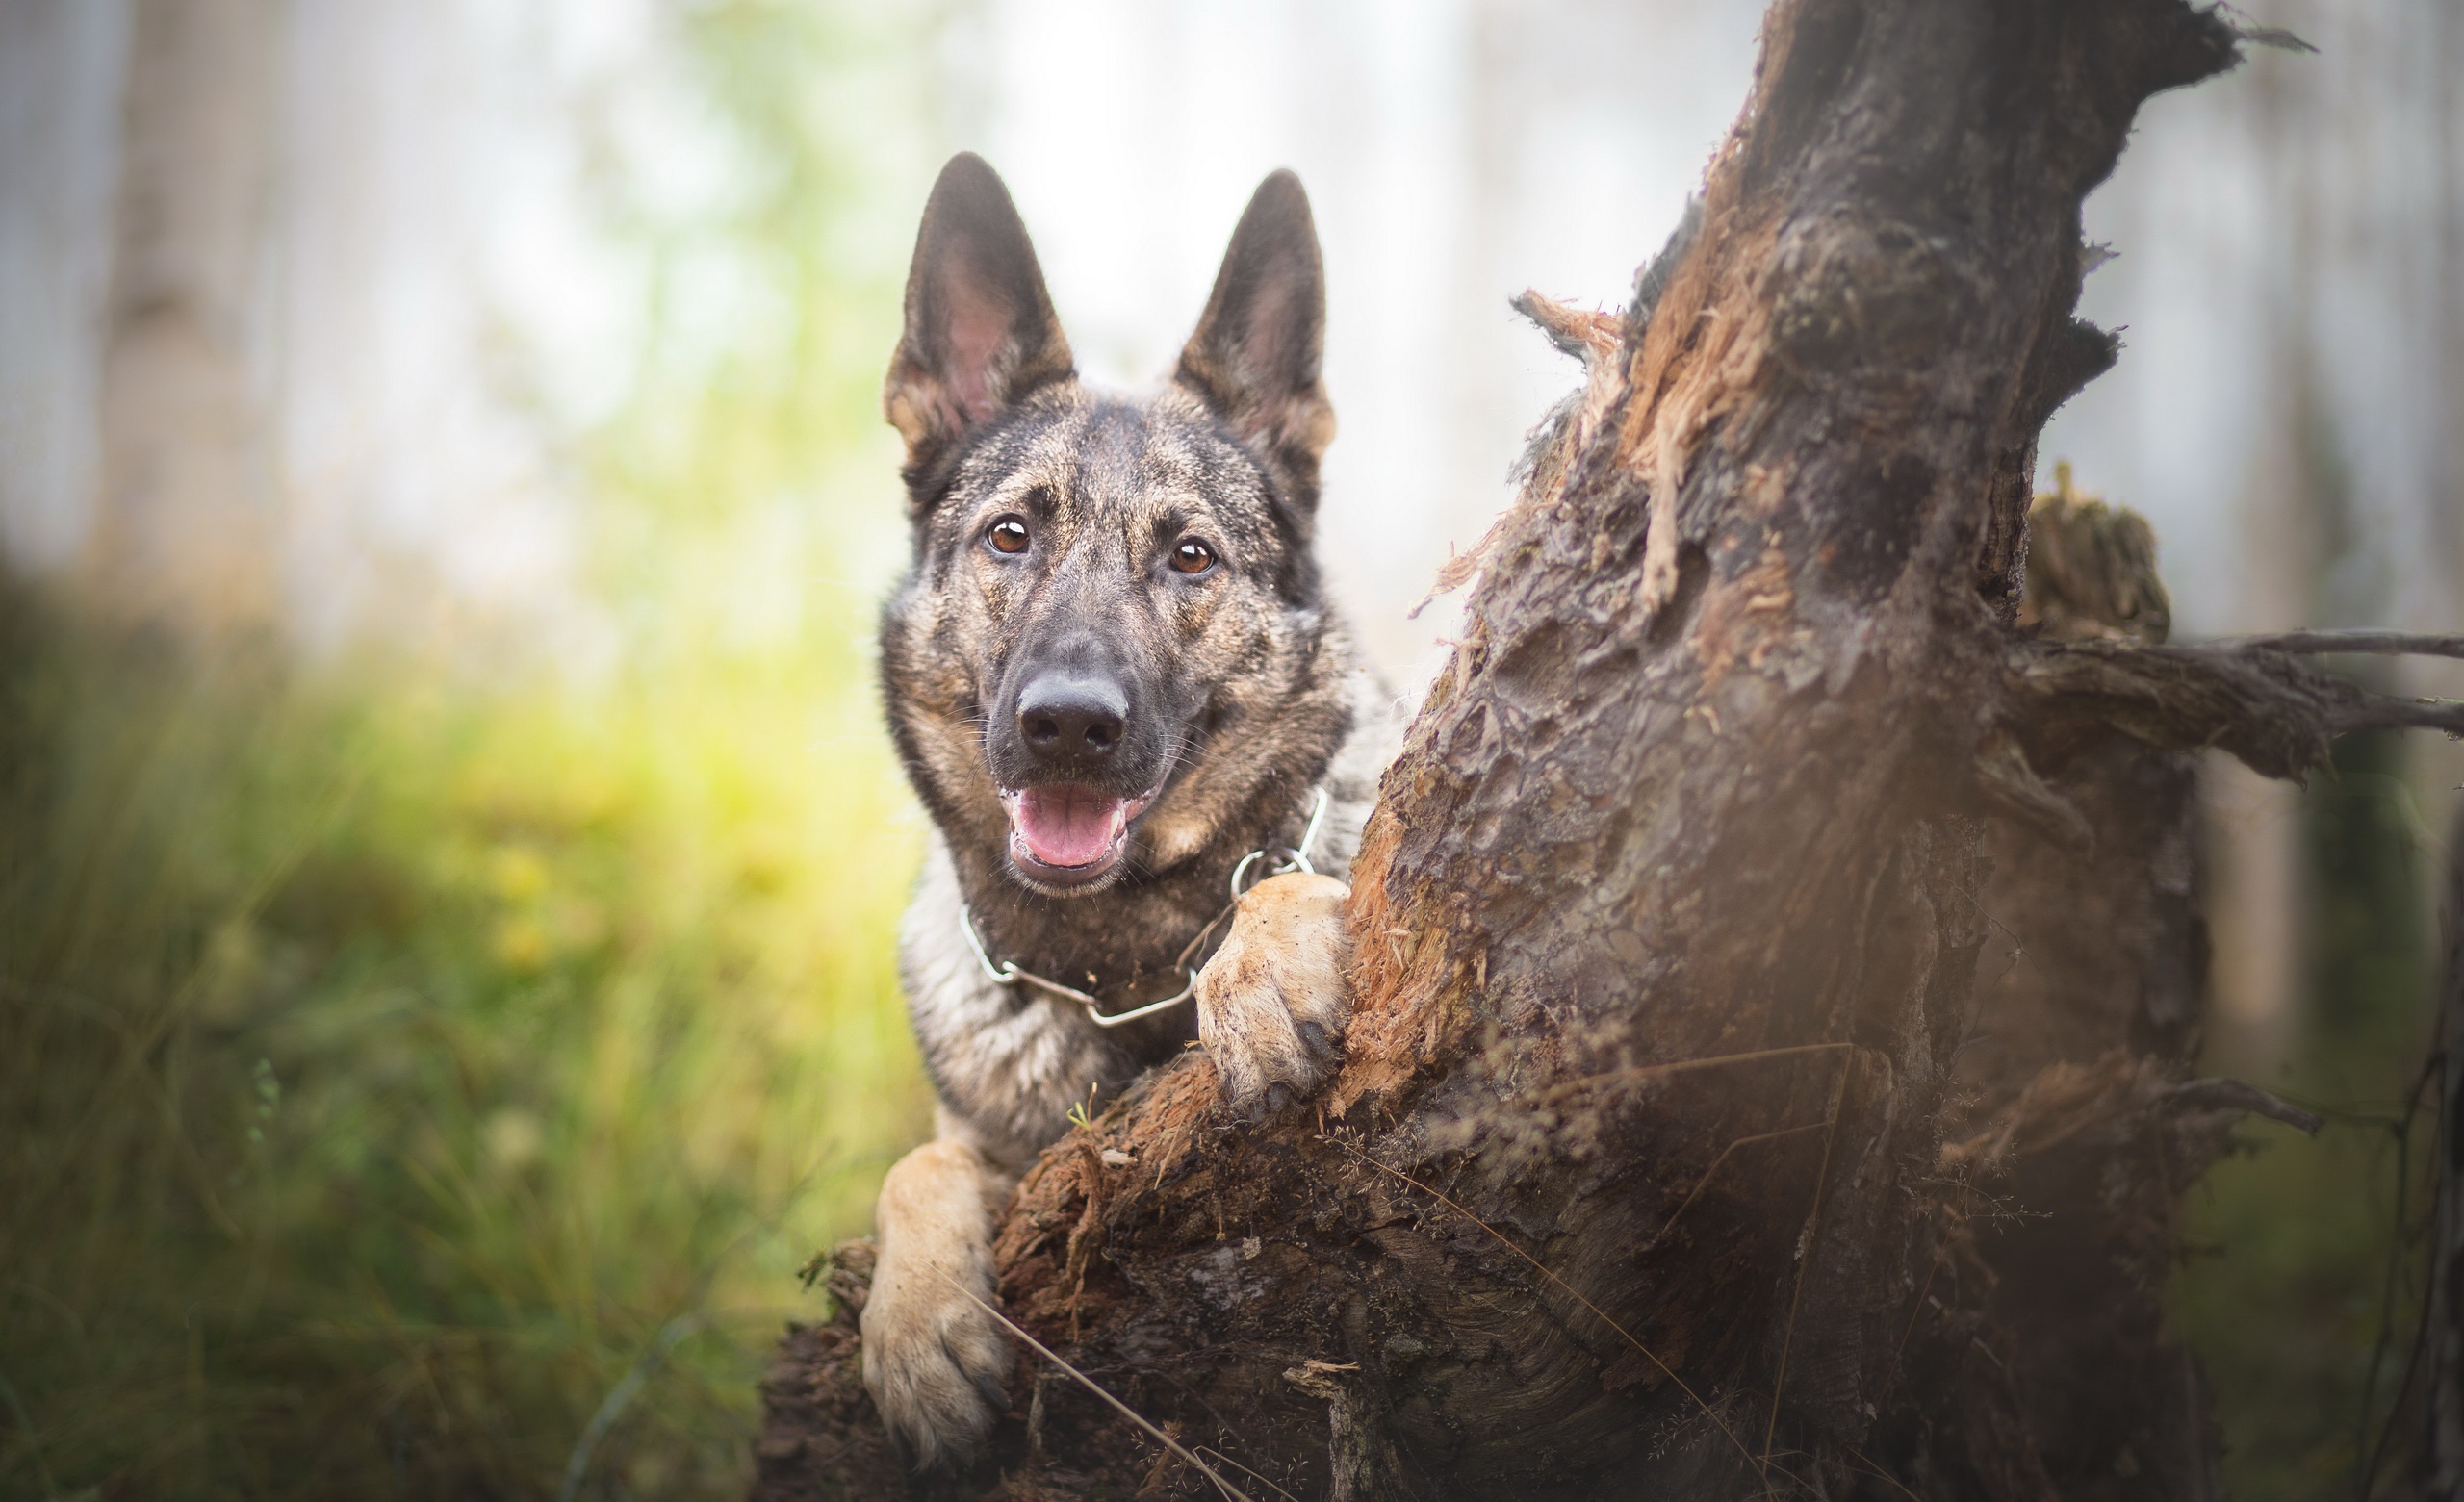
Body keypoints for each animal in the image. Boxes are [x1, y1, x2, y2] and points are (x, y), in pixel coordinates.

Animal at [852, 157, 1389, 1467]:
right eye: (1010, 536)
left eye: (1190, 557)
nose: (1068, 726)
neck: (1120, 969)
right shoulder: (989, 1148)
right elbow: (914, 1165)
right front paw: (913, 1327)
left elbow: (1285, 867)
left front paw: (1257, 970)